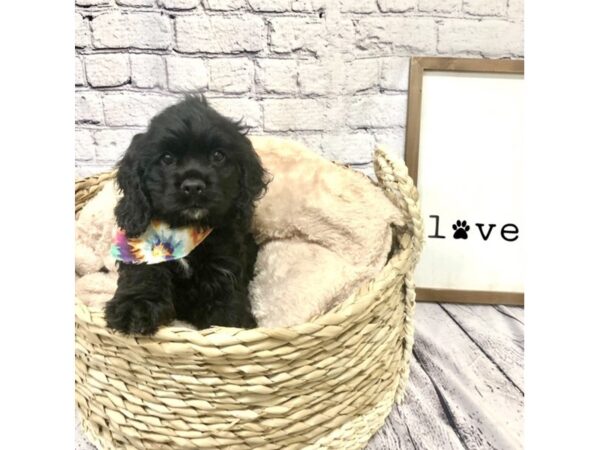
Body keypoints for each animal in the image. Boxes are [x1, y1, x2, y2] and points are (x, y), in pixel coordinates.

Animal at [104, 95, 268, 334]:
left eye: (217, 155)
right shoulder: (142, 253)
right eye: (167, 158)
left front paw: (232, 324)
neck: (183, 229)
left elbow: (225, 306)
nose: (193, 186)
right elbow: (143, 275)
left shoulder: (224, 267)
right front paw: (134, 308)